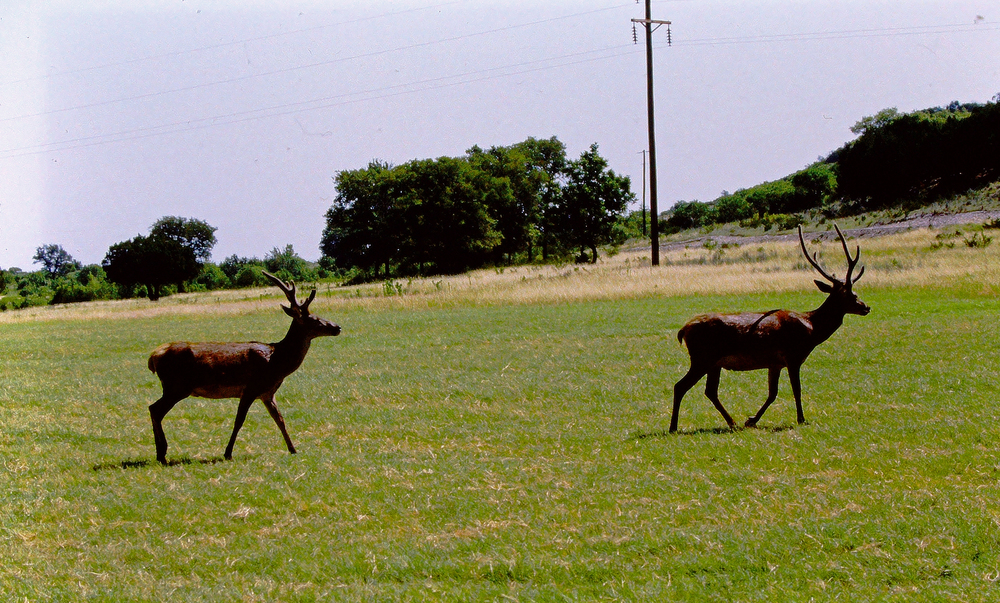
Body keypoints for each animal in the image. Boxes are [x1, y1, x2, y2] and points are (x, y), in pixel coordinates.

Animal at [147, 271, 341, 464]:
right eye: (315, 320)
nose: (337, 327)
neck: (277, 363)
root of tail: (153, 357)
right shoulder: (250, 388)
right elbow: (239, 420)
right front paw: (227, 453)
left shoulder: (267, 392)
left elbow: (280, 419)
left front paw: (293, 449)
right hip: (177, 386)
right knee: (155, 409)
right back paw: (162, 454)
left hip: (174, 387)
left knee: (153, 408)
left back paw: (160, 453)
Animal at [669, 224, 869, 433]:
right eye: (850, 294)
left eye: (855, 292)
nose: (866, 307)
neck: (812, 329)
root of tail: (683, 330)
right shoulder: (793, 356)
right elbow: (796, 389)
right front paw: (801, 419)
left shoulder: (775, 363)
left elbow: (772, 393)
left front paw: (751, 420)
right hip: (702, 358)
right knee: (680, 386)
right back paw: (674, 427)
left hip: (713, 363)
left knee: (710, 391)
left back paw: (732, 422)